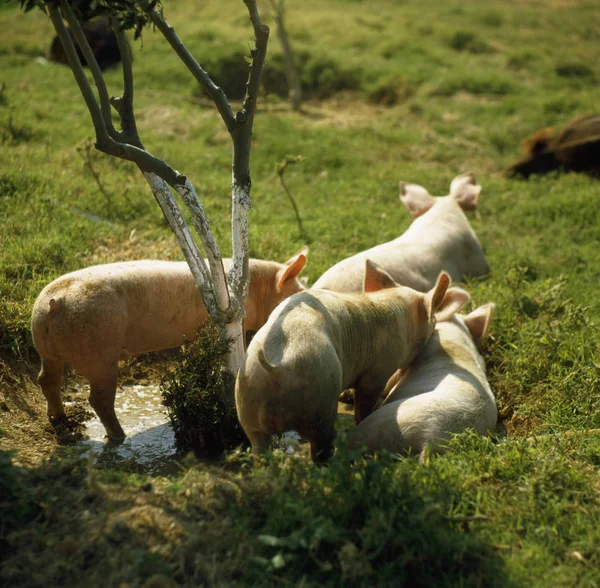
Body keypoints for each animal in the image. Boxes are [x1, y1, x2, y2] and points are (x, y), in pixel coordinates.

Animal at [29, 246, 308, 438]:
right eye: (297, 293)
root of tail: (56, 303)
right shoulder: (224, 322)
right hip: (99, 352)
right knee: (98, 399)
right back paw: (120, 437)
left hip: (45, 345)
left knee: (47, 379)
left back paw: (58, 418)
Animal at [234, 260, 468, 462]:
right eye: (433, 319)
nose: (436, 328)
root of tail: (277, 367)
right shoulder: (379, 369)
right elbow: (365, 401)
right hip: (320, 402)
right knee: (321, 446)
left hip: (247, 403)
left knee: (258, 448)